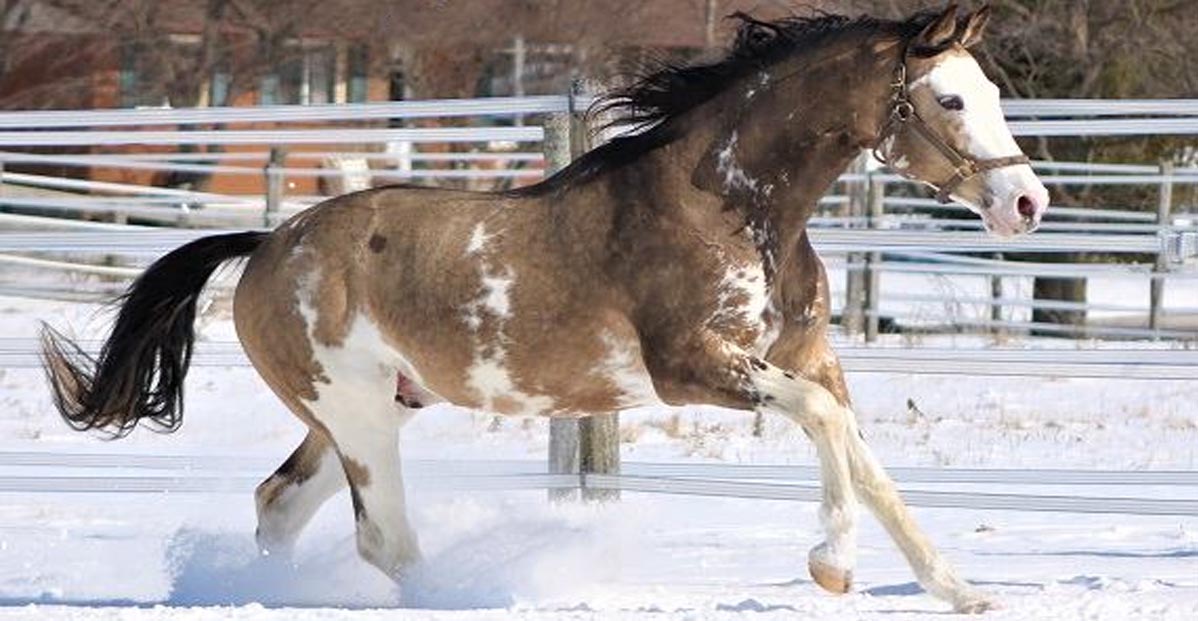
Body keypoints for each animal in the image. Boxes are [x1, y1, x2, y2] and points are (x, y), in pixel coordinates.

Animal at [42, 3, 1044, 613]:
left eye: (992, 92)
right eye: (947, 98)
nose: (1026, 203)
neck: (730, 204)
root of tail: (263, 247)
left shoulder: (805, 359)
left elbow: (870, 468)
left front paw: (961, 591)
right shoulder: (693, 369)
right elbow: (831, 432)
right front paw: (831, 565)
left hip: (364, 412)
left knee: (280, 505)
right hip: (357, 415)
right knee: (382, 538)